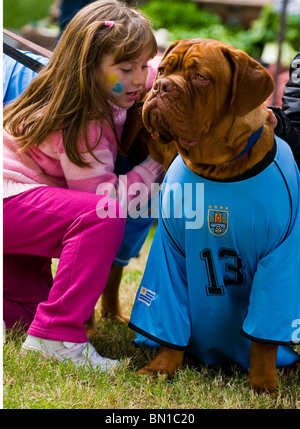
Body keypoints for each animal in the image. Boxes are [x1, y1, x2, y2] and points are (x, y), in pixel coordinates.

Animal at [129, 39, 300, 392]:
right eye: (163, 70)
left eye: (201, 78)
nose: (162, 86)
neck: (219, 169)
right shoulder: (169, 253)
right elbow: (170, 318)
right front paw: (162, 367)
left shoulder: (281, 259)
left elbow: (264, 338)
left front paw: (263, 383)